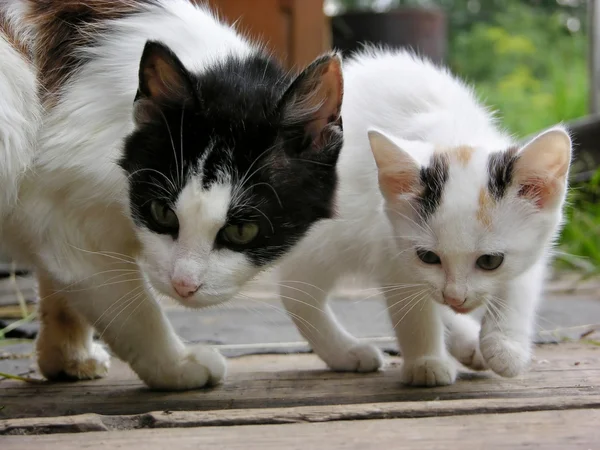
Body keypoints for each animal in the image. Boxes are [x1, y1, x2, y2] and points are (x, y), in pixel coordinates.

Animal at [0, 0, 344, 390]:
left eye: (243, 231)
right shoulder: (69, 229)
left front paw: (68, 357)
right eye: (162, 213)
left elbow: (60, 293)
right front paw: (175, 365)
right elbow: (132, 310)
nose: (184, 286)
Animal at [276, 48, 572, 386]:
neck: (453, 135)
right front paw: (426, 363)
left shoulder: (538, 239)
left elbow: (520, 286)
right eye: (428, 256)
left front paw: (505, 346)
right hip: (326, 239)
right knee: (295, 289)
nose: (456, 296)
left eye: (490, 261)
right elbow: (413, 310)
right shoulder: (389, 245)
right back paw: (345, 352)